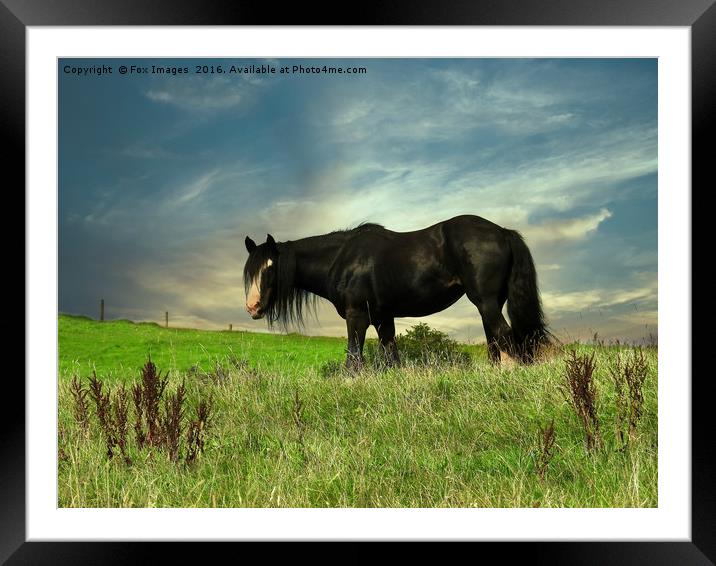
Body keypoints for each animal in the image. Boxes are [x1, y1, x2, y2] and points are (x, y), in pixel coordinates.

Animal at [243, 215, 552, 370]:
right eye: (250, 270)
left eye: (270, 267)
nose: (252, 307)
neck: (341, 257)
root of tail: (503, 231)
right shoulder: (383, 318)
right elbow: (391, 357)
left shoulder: (357, 317)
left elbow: (353, 359)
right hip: (492, 303)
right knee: (495, 340)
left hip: (485, 301)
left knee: (505, 337)